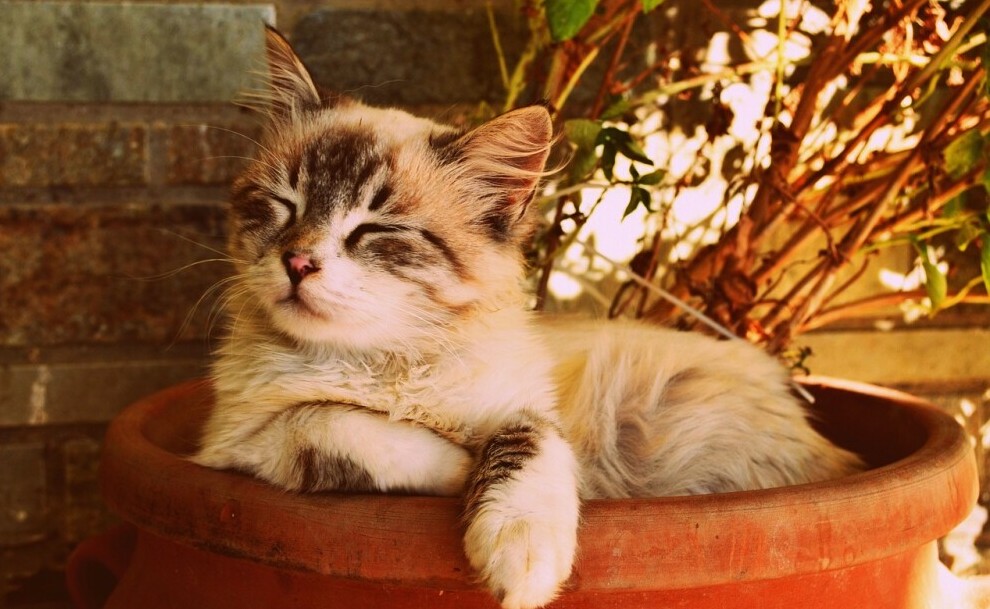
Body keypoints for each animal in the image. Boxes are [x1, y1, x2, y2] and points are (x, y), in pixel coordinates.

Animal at [192, 26, 860, 608]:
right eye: (284, 205)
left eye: (374, 229)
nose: (297, 262)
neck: (382, 362)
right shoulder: (241, 444)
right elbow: (333, 421)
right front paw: (458, 469)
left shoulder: (528, 408)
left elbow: (527, 449)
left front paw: (522, 561)